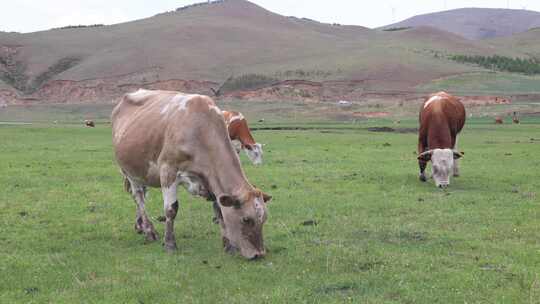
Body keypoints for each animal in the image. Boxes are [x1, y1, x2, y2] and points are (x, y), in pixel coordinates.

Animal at [112, 89, 272, 260]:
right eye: (246, 219)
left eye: (264, 219)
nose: (259, 254)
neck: (200, 129)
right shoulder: (168, 170)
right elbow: (171, 209)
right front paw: (169, 244)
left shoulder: (211, 180)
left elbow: (219, 210)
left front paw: (228, 245)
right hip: (129, 171)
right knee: (139, 197)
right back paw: (149, 230)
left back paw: (140, 226)